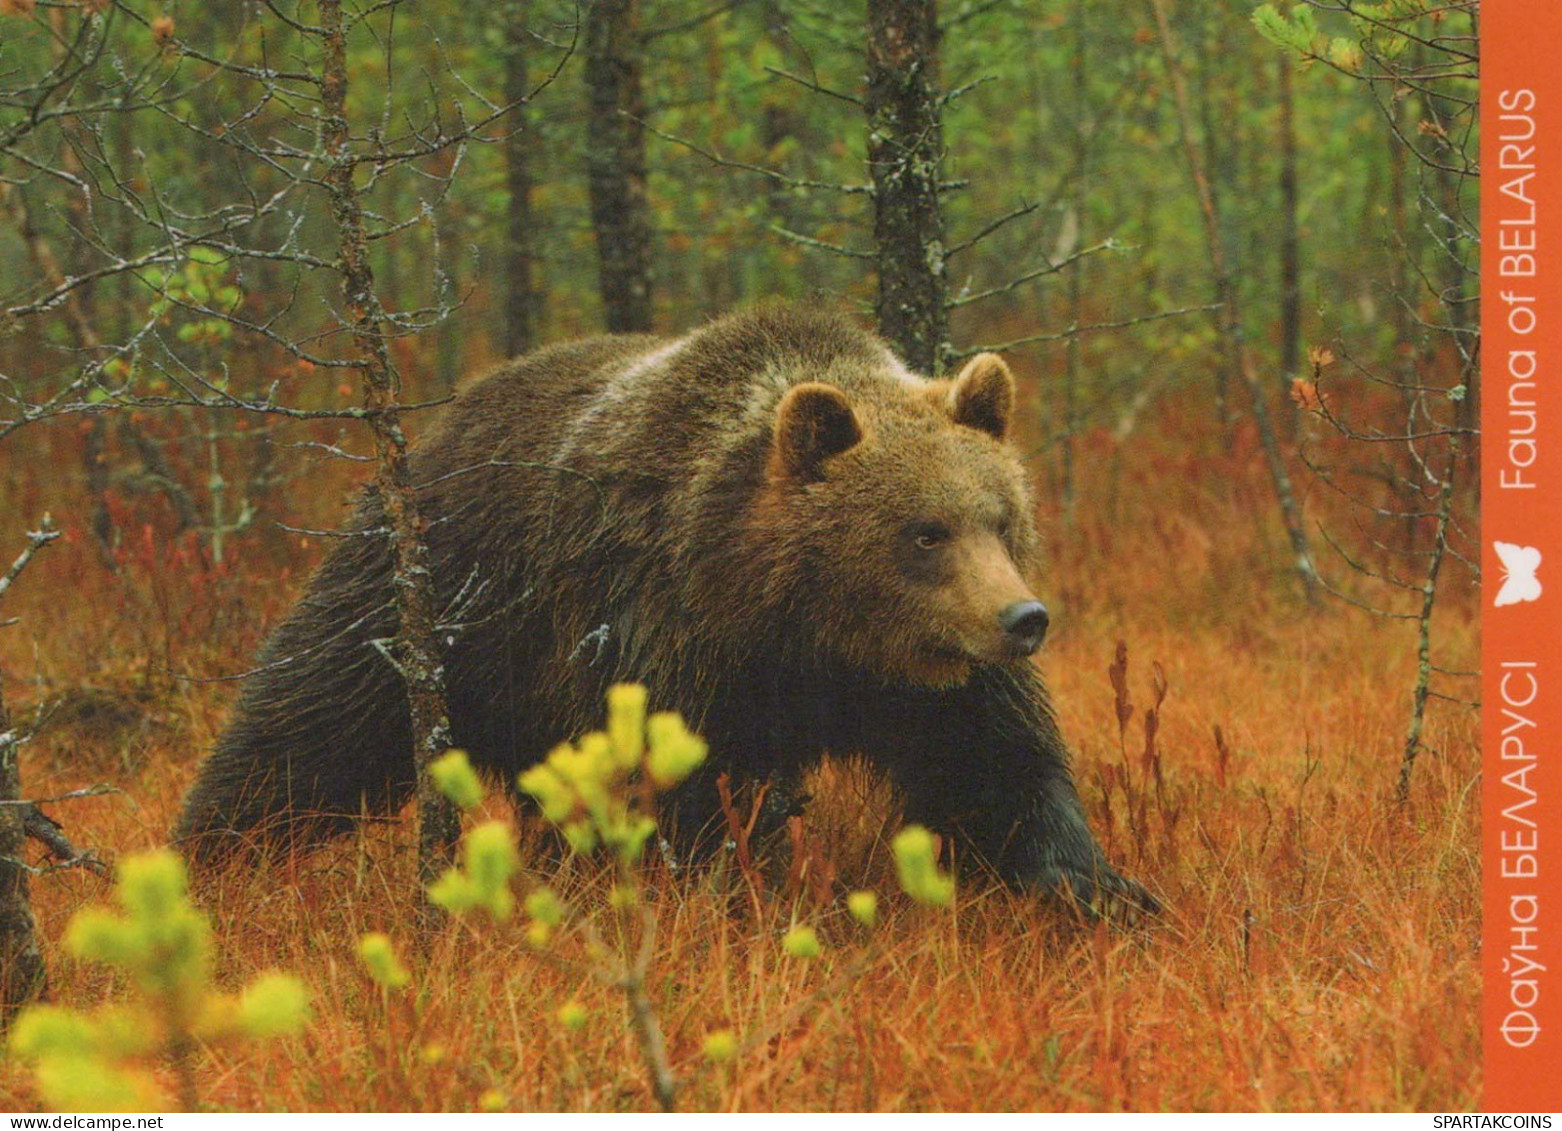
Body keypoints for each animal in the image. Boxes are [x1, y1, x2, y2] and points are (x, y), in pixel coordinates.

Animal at [179, 304, 1162, 912]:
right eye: (925, 531)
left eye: (1000, 517)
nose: (1023, 619)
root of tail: (447, 417)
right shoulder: (667, 638)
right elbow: (683, 795)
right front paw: (734, 896)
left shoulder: (930, 682)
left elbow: (999, 769)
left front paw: (1100, 890)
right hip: (436, 591)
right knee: (310, 721)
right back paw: (210, 854)